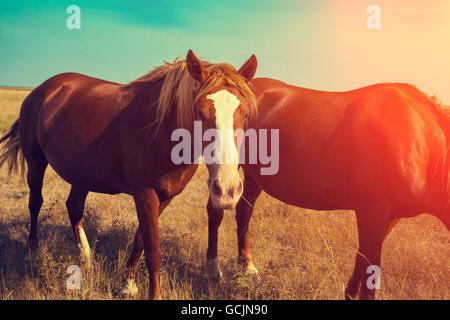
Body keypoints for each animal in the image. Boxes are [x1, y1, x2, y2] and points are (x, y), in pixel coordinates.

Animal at [0, 50, 258, 300]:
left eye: (245, 114)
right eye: (200, 113)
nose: (227, 189)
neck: (161, 128)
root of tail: (42, 89)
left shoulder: (164, 196)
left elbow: (141, 239)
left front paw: (128, 284)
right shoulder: (145, 194)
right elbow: (153, 251)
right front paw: (152, 294)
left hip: (82, 173)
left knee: (74, 207)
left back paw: (87, 260)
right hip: (35, 162)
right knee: (35, 203)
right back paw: (31, 253)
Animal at [207, 77, 450, 300]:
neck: (418, 137)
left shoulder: (387, 218)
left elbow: (362, 257)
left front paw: (349, 293)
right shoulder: (372, 213)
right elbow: (370, 268)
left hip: (253, 177)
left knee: (244, 210)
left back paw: (247, 266)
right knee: (216, 211)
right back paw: (213, 271)